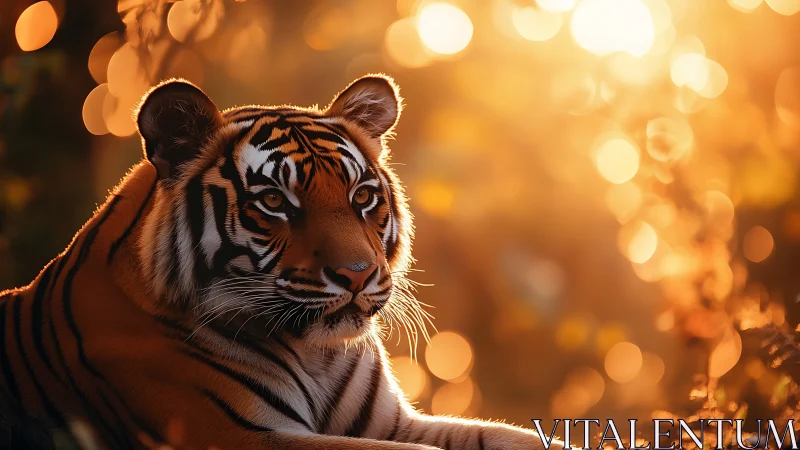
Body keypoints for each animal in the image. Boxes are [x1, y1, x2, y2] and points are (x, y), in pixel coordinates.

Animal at [0, 75, 565, 450]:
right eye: (274, 201)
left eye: (362, 197)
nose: (358, 275)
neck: (314, 352)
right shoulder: (238, 433)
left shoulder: (394, 423)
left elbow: (514, 438)